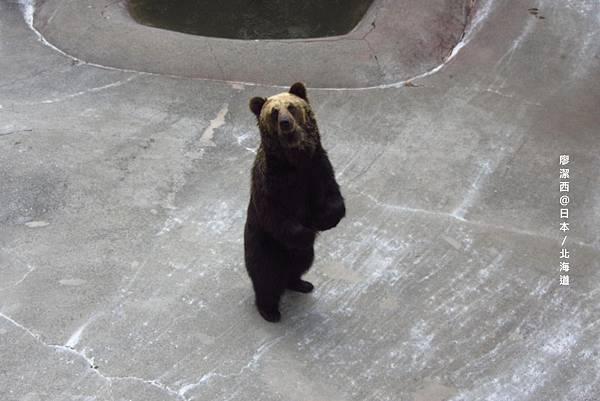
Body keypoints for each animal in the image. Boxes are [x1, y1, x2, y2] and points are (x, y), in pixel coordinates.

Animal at [244, 82, 346, 322]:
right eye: (274, 112)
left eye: (291, 106)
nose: (285, 122)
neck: (294, 161)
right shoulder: (271, 184)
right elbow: (277, 216)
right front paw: (308, 231)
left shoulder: (318, 168)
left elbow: (333, 197)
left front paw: (323, 221)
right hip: (264, 245)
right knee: (266, 277)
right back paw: (269, 310)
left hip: (300, 255)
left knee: (301, 262)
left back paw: (301, 283)